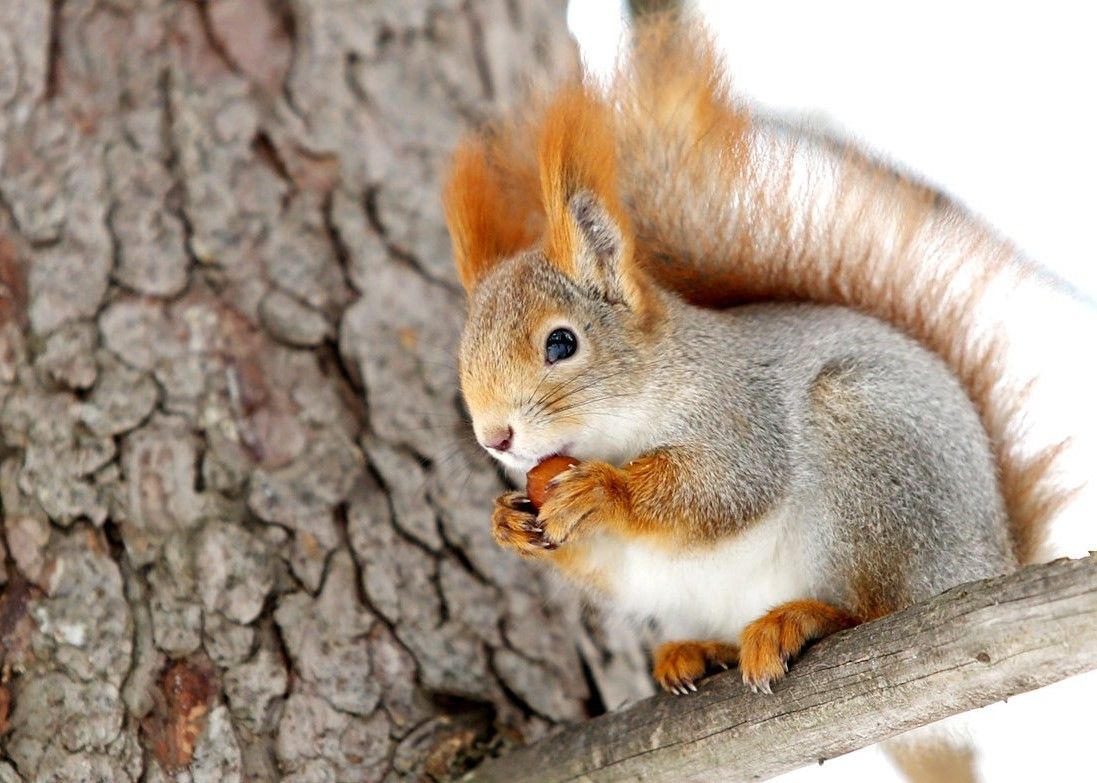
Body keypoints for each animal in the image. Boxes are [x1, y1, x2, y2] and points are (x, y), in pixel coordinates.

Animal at [438, 15, 1070, 693]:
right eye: (463, 356)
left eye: (562, 342)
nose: (495, 438)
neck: (622, 419)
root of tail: (992, 558)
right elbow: (602, 559)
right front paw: (505, 523)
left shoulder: (741, 411)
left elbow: (723, 487)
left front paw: (604, 492)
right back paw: (692, 651)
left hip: (872, 463)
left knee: (881, 608)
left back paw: (802, 618)